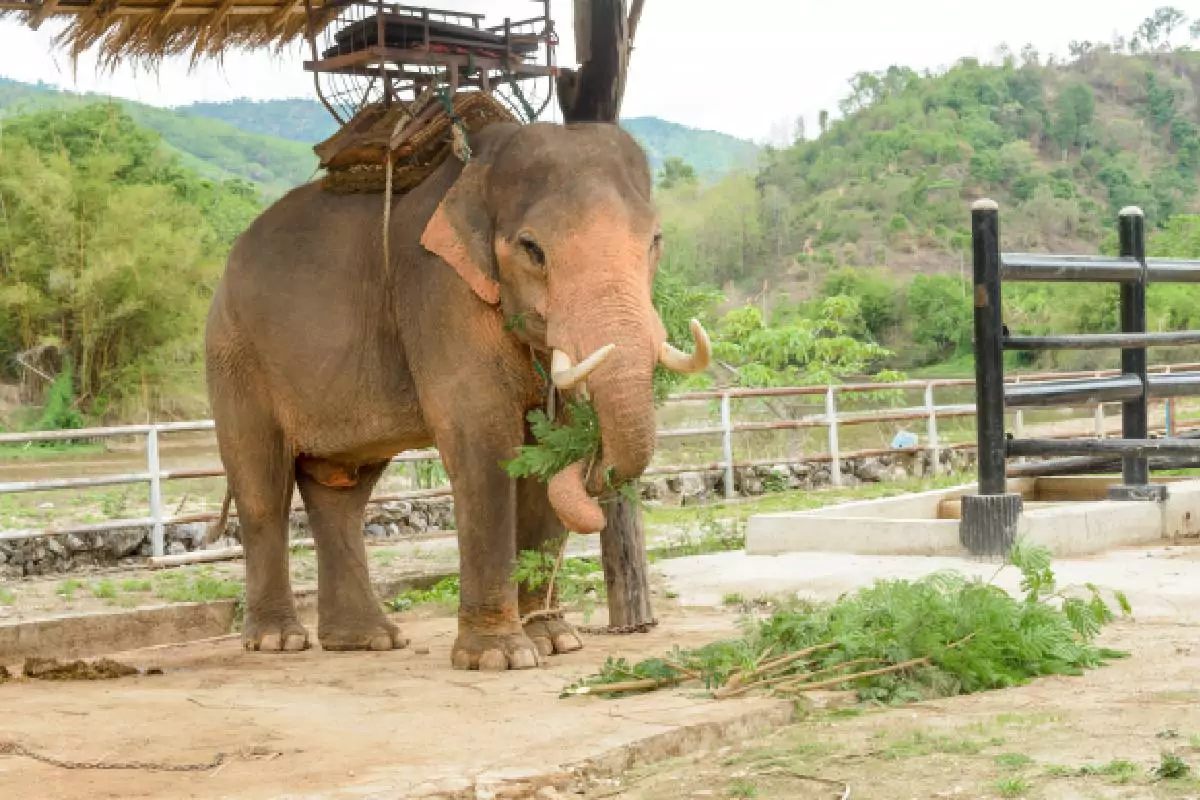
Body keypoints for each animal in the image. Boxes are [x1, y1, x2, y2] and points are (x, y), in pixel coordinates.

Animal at [204, 119, 711, 671]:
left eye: (654, 242)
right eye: (533, 249)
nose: (594, 471)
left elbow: (545, 447)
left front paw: (555, 641)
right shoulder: (440, 291)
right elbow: (482, 439)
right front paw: (501, 658)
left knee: (341, 490)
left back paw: (368, 640)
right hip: (234, 357)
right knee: (263, 488)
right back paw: (278, 641)